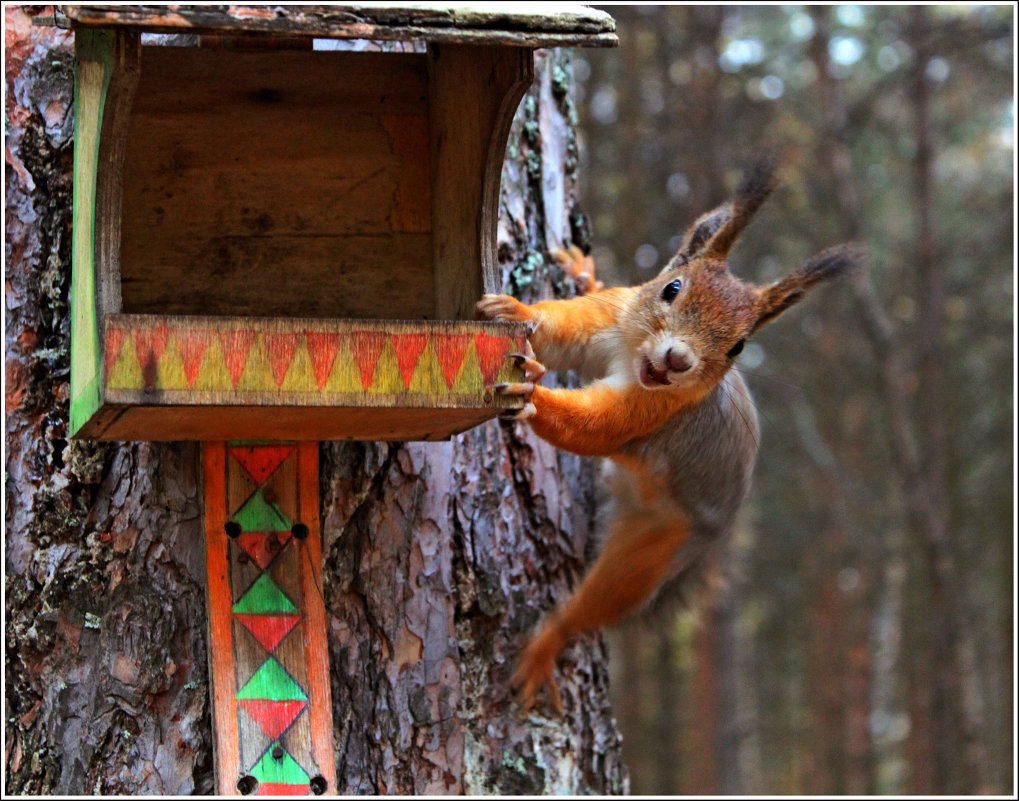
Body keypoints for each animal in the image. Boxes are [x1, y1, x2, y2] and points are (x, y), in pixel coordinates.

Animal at [474, 158, 860, 709]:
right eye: (671, 288)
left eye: (740, 346)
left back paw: (546, 646)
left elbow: (595, 428)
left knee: (599, 601)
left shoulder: (653, 412)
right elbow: (558, 329)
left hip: (649, 550)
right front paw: (521, 309)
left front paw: (531, 394)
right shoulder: (610, 315)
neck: (633, 359)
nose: (679, 360)